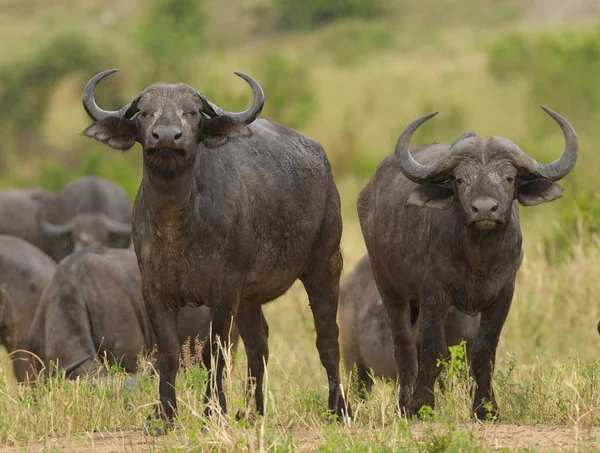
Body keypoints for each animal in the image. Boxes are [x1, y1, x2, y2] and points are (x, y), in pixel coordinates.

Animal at [81, 67, 352, 430]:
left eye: (192, 112)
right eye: (146, 112)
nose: (166, 137)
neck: (178, 225)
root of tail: (322, 163)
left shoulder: (223, 291)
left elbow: (216, 351)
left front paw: (214, 411)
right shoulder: (154, 291)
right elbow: (169, 353)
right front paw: (164, 415)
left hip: (325, 263)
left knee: (327, 338)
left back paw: (339, 408)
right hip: (250, 297)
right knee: (259, 343)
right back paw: (252, 411)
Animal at [358, 107, 580, 418]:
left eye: (509, 178)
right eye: (461, 180)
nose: (485, 209)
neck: (478, 258)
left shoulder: (503, 294)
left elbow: (484, 349)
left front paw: (486, 407)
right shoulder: (433, 292)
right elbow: (434, 347)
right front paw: (421, 404)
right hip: (389, 286)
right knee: (403, 344)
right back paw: (404, 404)